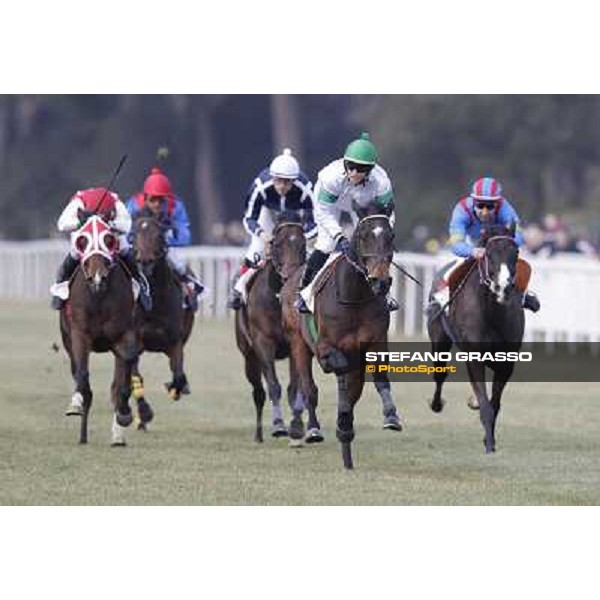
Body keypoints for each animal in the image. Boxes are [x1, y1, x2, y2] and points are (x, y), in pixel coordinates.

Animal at [59, 216, 138, 446]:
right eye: (82, 240)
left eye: (109, 239)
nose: (97, 277)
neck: (99, 297)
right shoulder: (79, 335)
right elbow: (82, 374)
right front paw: (76, 404)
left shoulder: (124, 334)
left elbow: (125, 372)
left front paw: (124, 415)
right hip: (67, 338)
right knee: (79, 374)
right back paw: (82, 430)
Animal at [129, 213, 195, 424]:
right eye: (133, 235)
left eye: (159, 235)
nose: (145, 261)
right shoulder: (134, 341)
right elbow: (135, 376)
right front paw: (144, 412)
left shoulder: (175, 341)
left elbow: (178, 374)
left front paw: (175, 388)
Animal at [236, 214, 312, 440]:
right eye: (277, 244)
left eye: (302, 244)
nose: (290, 275)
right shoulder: (263, 343)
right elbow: (273, 386)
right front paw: (278, 425)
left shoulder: (295, 343)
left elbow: (294, 387)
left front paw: (297, 426)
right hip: (249, 356)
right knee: (259, 392)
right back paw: (259, 434)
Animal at [302, 214, 406, 468]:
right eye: (363, 236)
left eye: (391, 236)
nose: (381, 281)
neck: (354, 296)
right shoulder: (324, 346)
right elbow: (338, 368)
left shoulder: (376, 342)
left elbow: (379, 378)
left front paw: (390, 416)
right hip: (297, 344)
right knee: (309, 386)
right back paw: (315, 430)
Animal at [426, 223, 524, 452]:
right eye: (488, 253)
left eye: (516, 252)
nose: (503, 287)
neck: (492, 312)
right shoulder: (475, 357)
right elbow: (487, 404)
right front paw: (489, 446)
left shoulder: (506, 363)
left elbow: (494, 404)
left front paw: (490, 440)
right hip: (439, 339)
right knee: (440, 374)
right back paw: (436, 404)